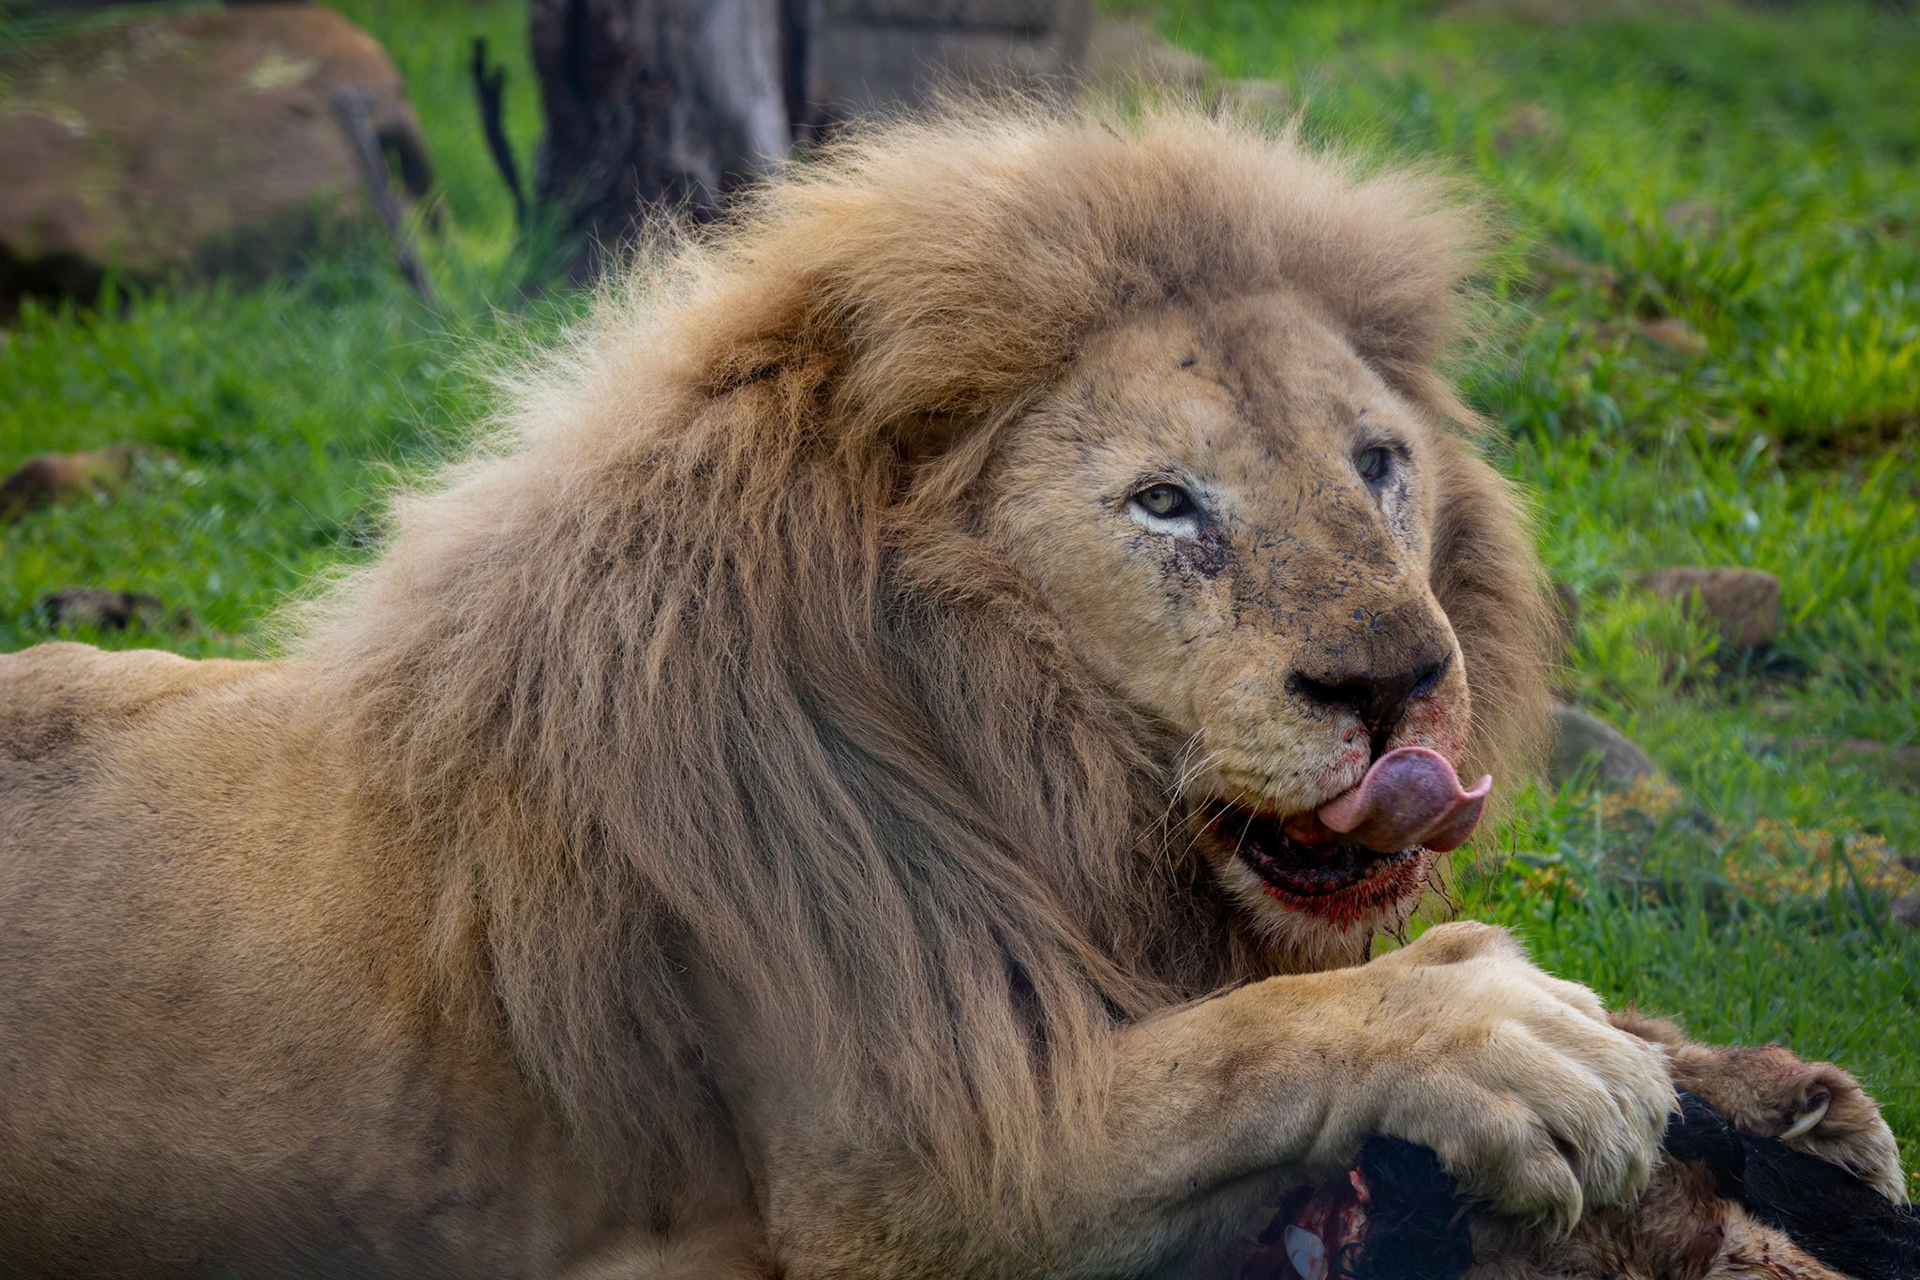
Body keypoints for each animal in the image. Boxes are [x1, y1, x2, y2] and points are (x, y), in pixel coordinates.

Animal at [0, 104, 1691, 1278]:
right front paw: (1516, 1035)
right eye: (1165, 505)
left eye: (1378, 464)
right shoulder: (888, 1182)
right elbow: (1248, 1043)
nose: (1398, 686)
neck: (1022, 744)